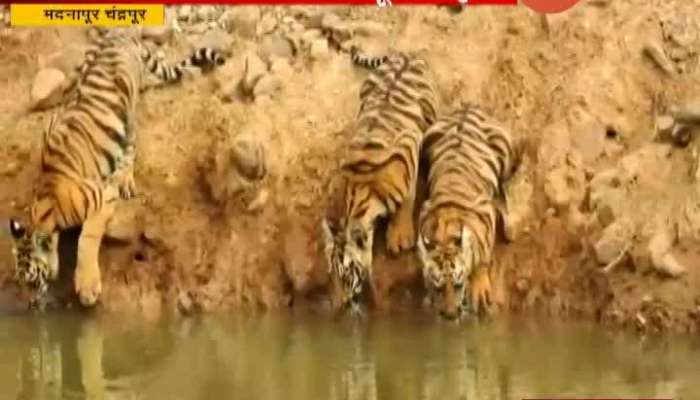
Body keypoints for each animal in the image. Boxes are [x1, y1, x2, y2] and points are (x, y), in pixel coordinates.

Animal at [8, 32, 227, 310]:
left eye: (33, 281)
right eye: (21, 282)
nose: (31, 306)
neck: (48, 203)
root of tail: (121, 33)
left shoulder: (100, 201)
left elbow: (87, 240)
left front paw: (87, 287)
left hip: (128, 110)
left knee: (130, 146)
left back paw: (124, 178)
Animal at [322, 47, 438, 314]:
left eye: (345, 276)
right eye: (330, 276)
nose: (336, 306)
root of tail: (405, 54)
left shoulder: (409, 147)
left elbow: (407, 199)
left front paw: (400, 238)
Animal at [416, 104, 520, 322]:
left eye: (458, 285)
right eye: (439, 288)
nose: (450, 315)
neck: (445, 236)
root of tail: (468, 106)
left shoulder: (485, 213)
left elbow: (483, 256)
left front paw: (480, 291)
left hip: (505, 152)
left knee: (503, 188)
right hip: (427, 140)